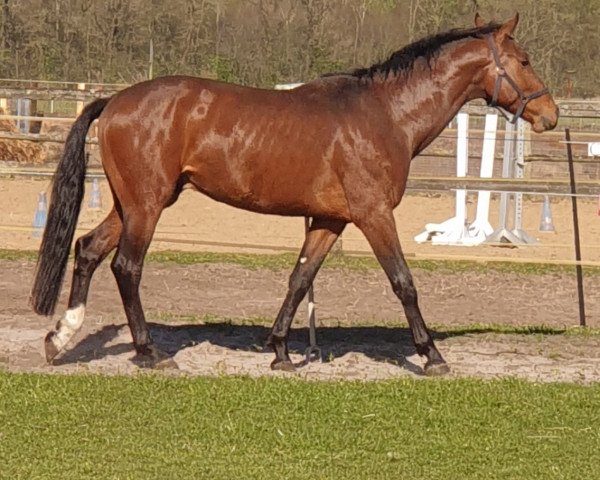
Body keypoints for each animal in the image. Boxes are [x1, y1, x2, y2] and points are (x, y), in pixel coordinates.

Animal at [31, 14, 556, 376]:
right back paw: (148, 352)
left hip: (133, 203)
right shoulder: (374, 215)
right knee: (126, 266)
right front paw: (431, 355)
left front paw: (281, 350)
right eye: (525, 61)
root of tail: (114, 100)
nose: (550, 114)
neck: (386, 114)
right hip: (147, 205)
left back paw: (60, 339)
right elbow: (403, 282)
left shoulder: (330, 221)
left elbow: (300, 280)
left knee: (88, 250)